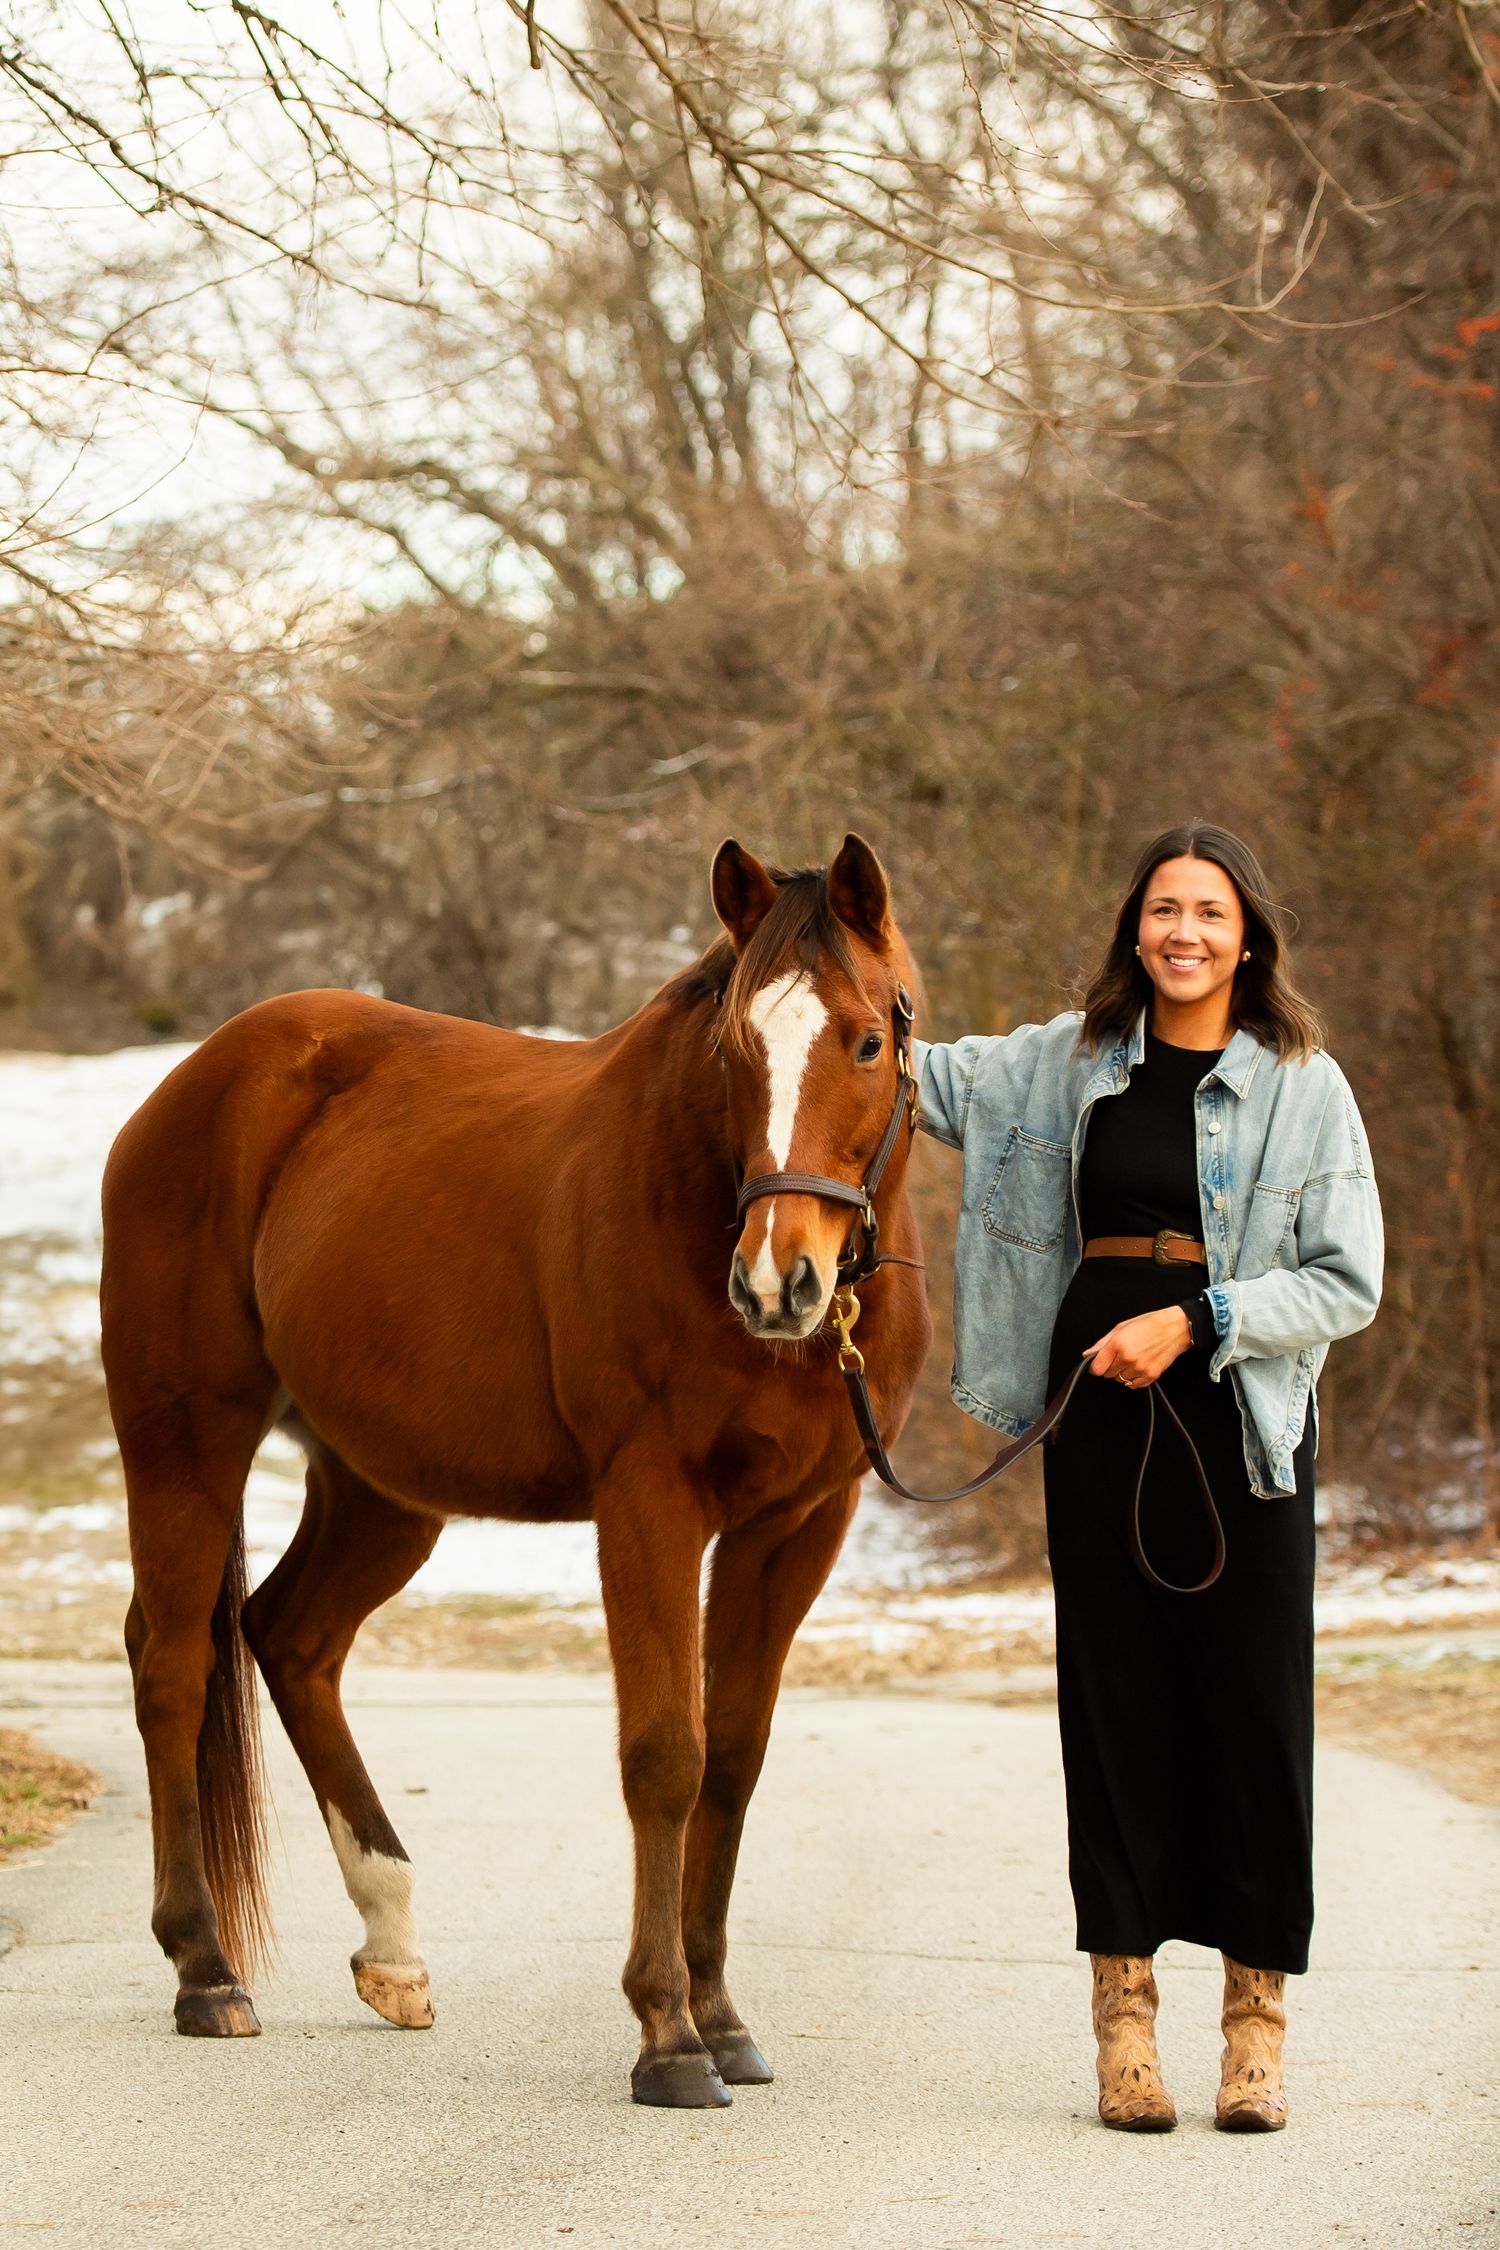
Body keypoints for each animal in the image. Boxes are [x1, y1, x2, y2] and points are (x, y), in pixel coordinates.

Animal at [99, 832, 931, 2107]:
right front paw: (668, 2035)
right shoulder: (649, 1504)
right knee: (175, 1663)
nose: (777, 1281)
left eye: (867, 1040)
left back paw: (391, 1945)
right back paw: (204, 1970)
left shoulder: (797, 1525)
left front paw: (721, 2014)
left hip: (381, 1491)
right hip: (186, 1440)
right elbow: (665, 1756)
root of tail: (201, 1079)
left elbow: (733, 1763)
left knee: (291, 1637)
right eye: (736, 1051)